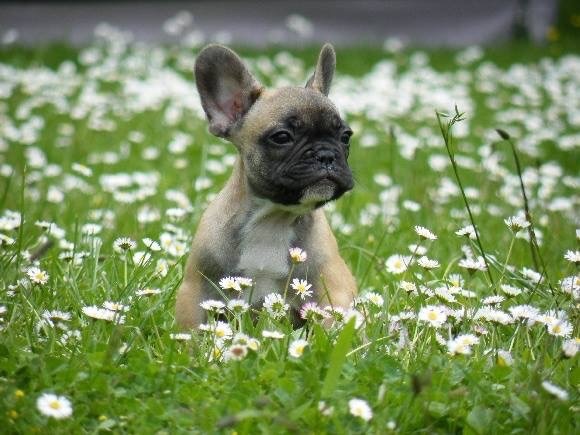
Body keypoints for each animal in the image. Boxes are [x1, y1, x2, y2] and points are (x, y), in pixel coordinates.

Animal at [175, 43, 357, 329]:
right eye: (282, 137)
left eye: (345, 137)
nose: (326, 154)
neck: (273, 218)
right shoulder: (195, 293)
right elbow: (190, 331)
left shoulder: (332, 291)